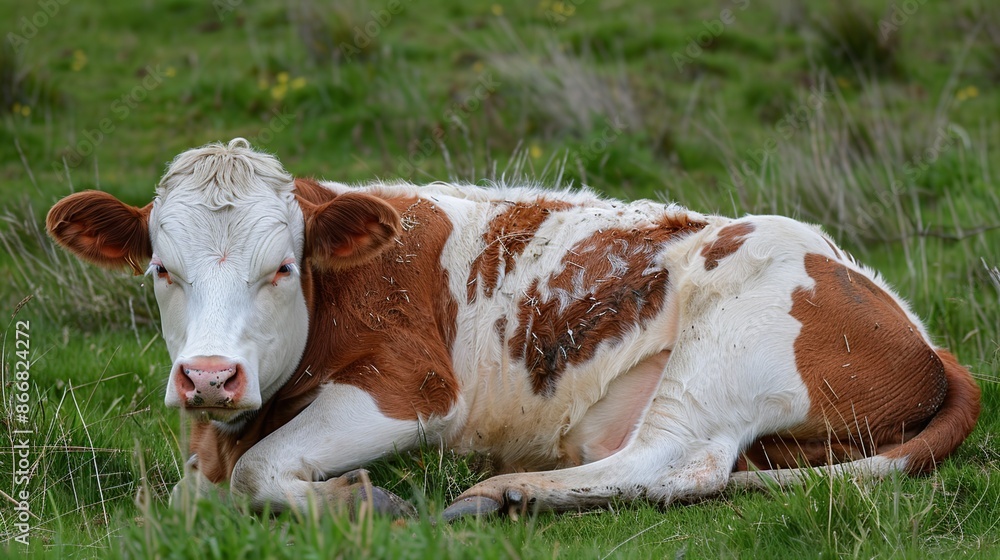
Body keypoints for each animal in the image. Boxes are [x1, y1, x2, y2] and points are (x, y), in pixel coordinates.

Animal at [45, 139, 976, 516]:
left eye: (280, 267)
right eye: (162, 270)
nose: (209, 376)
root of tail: (918, 330)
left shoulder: (413, 389)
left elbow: (259, 472)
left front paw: (365, 499)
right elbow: (190, 492)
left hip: (729, 337)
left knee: (677, 462)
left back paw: (503, 493)